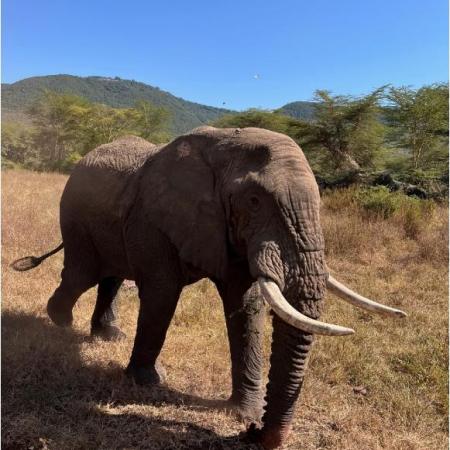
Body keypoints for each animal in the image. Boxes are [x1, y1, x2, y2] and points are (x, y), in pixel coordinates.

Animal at [13, 125, 408, 446]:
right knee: (83, 273)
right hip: (75, 215)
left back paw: (108, 335)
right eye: (254, 201)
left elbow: (246, 305)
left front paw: (242, 411)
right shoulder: (154, 217)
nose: (253, 433)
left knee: (110, 276)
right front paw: (147, 383)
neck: (224, 147)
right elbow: (161, 292)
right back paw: (61, 322)